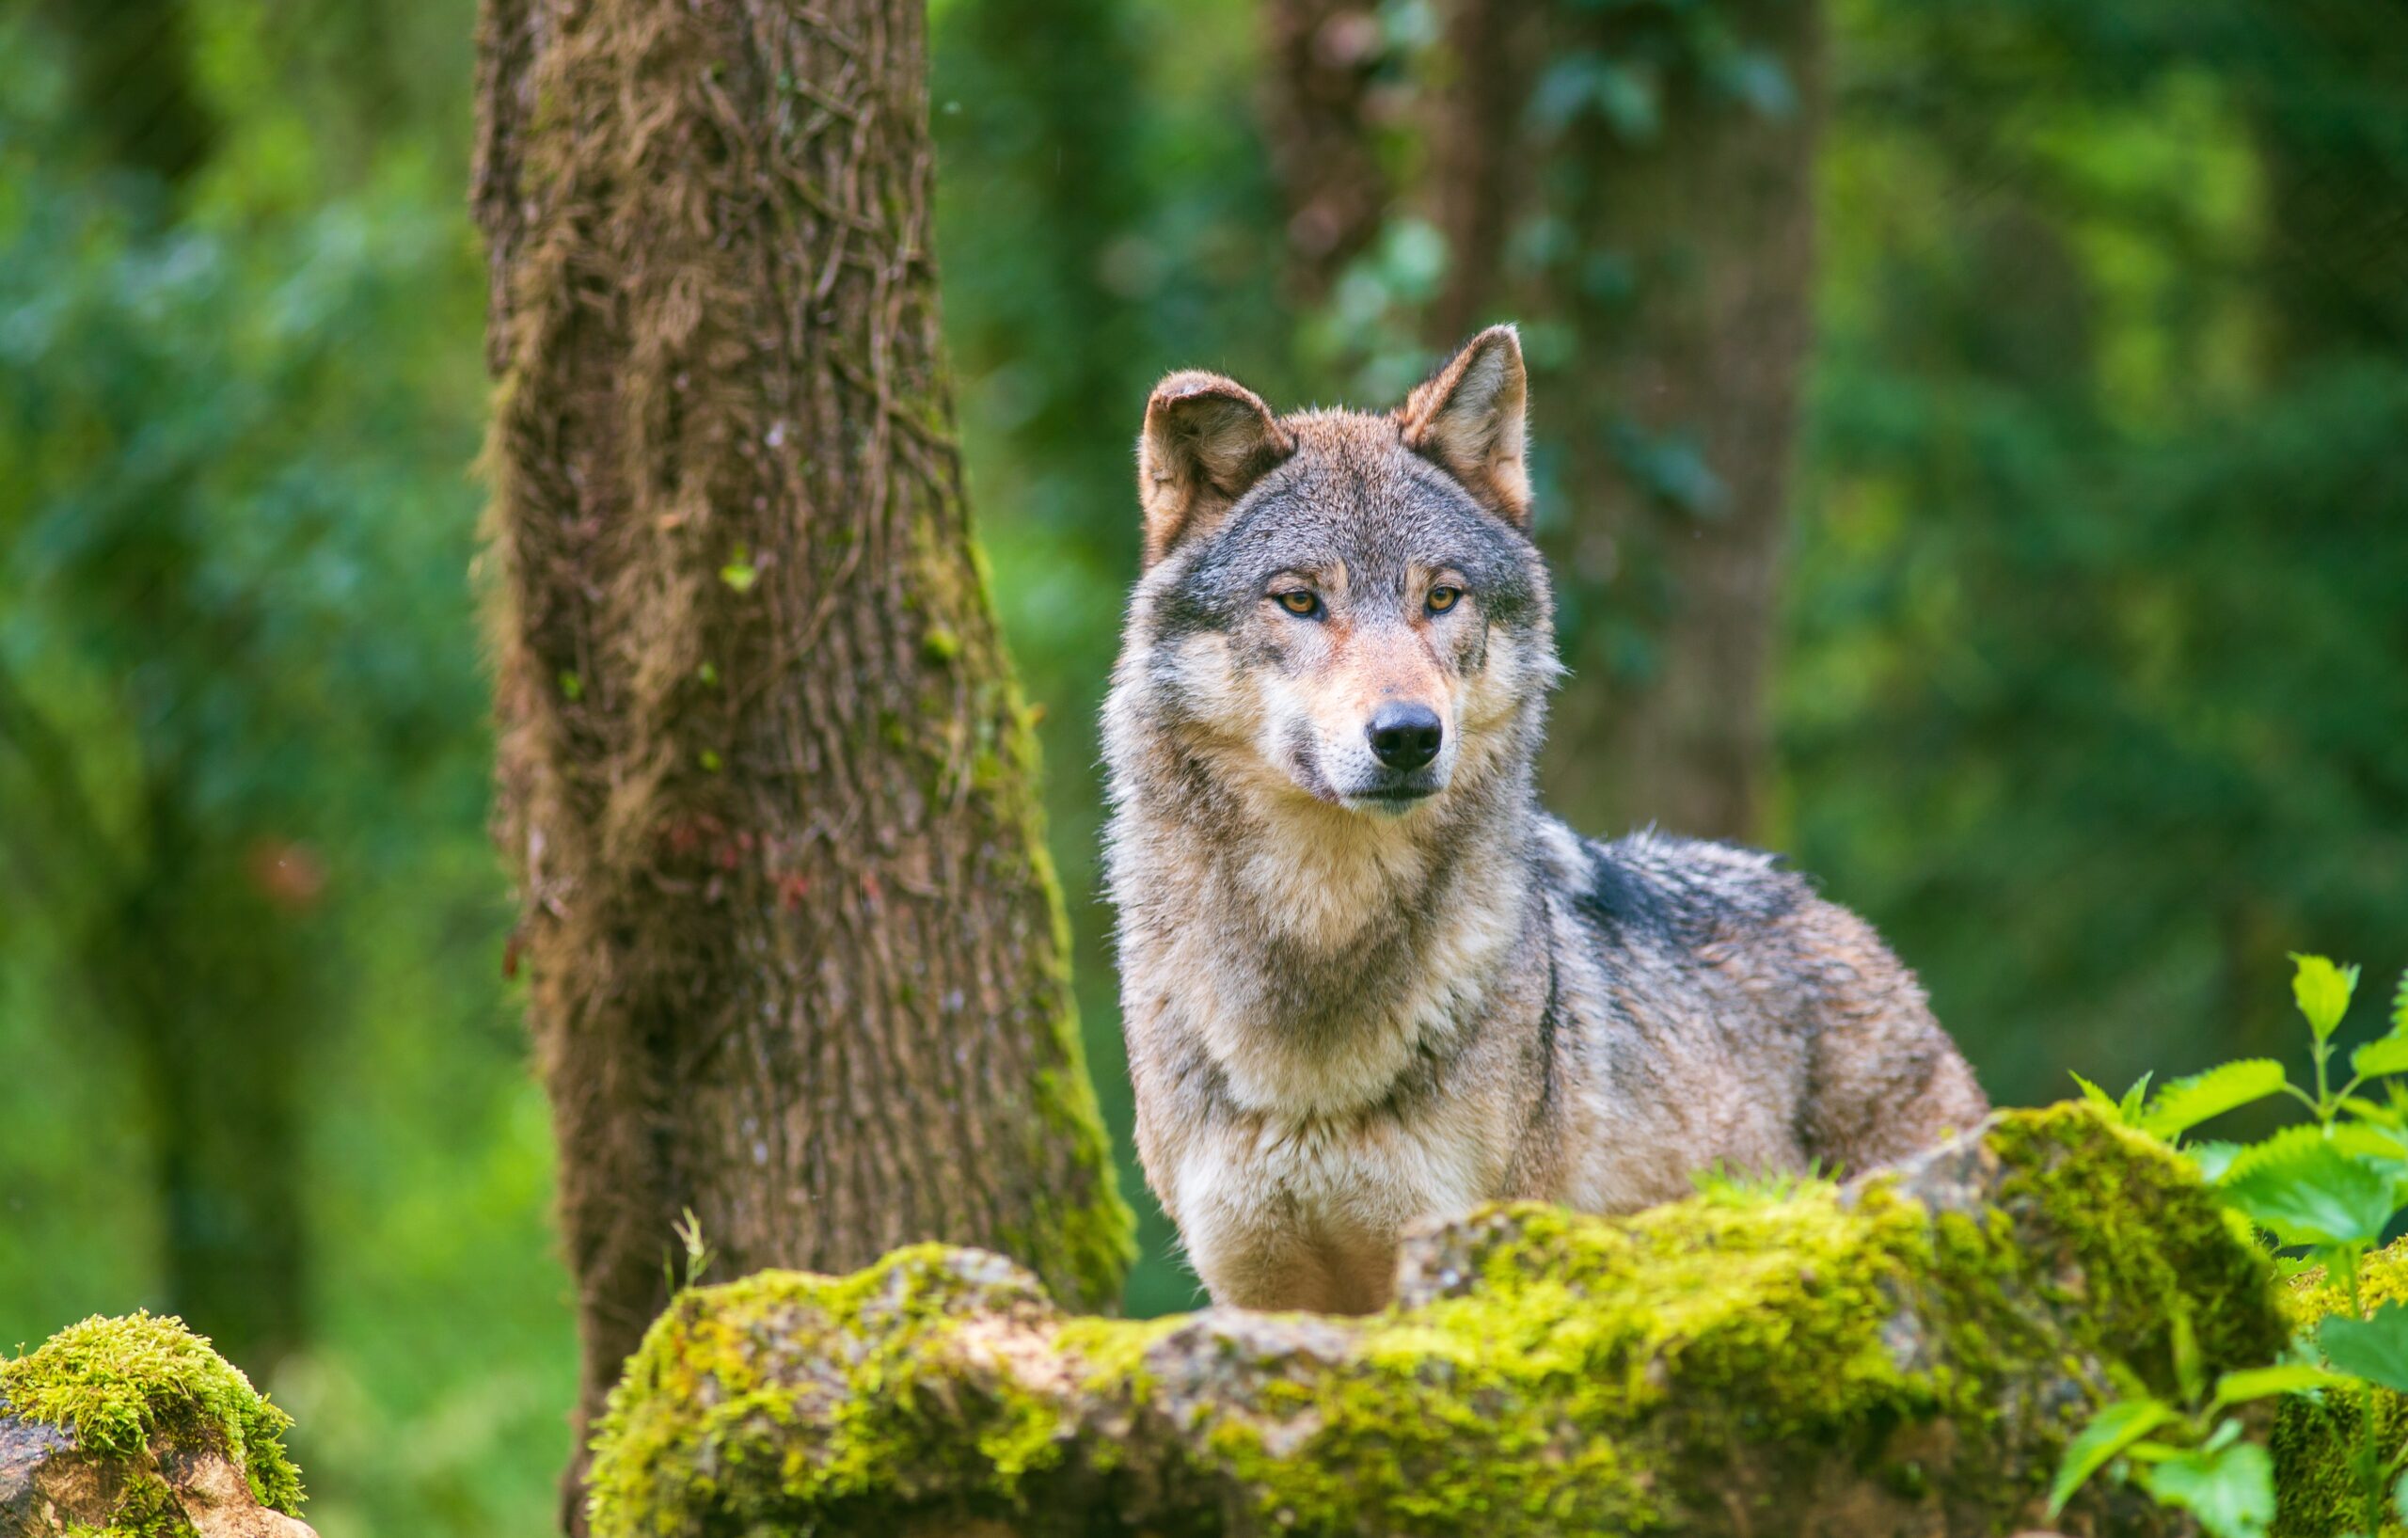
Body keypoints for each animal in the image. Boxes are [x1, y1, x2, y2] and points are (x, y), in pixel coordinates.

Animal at [1102, 325, 1984, 1308]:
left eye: (1441, 597)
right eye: (1300, 600)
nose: (1408, 736)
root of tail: (1827, 909)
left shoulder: (1468, 1254)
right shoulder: (1259, 1295)